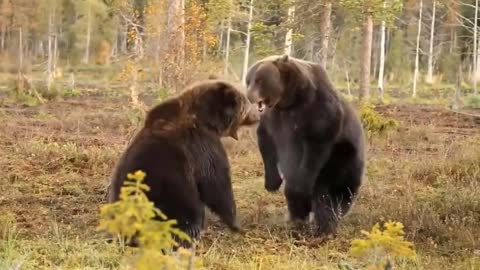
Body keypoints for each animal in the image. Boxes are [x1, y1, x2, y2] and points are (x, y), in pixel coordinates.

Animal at [107, 78, 260, 247]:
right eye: (246, 102)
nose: (258, 113)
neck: (208, 119)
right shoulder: (202, 145)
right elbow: (217, 184)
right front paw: (236, 224)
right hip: (165, 200)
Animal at [246, 54, 366, 236]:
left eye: (260, 80)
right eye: (249, 80)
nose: (248, 95)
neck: (289, 101)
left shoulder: (317, 115)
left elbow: (313, 152)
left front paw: (300, 188)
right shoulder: (274, 119)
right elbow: (266, 142)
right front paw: (272, 183)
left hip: (342, 159)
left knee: (331, 195)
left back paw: (324, 227)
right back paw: (297, 220)